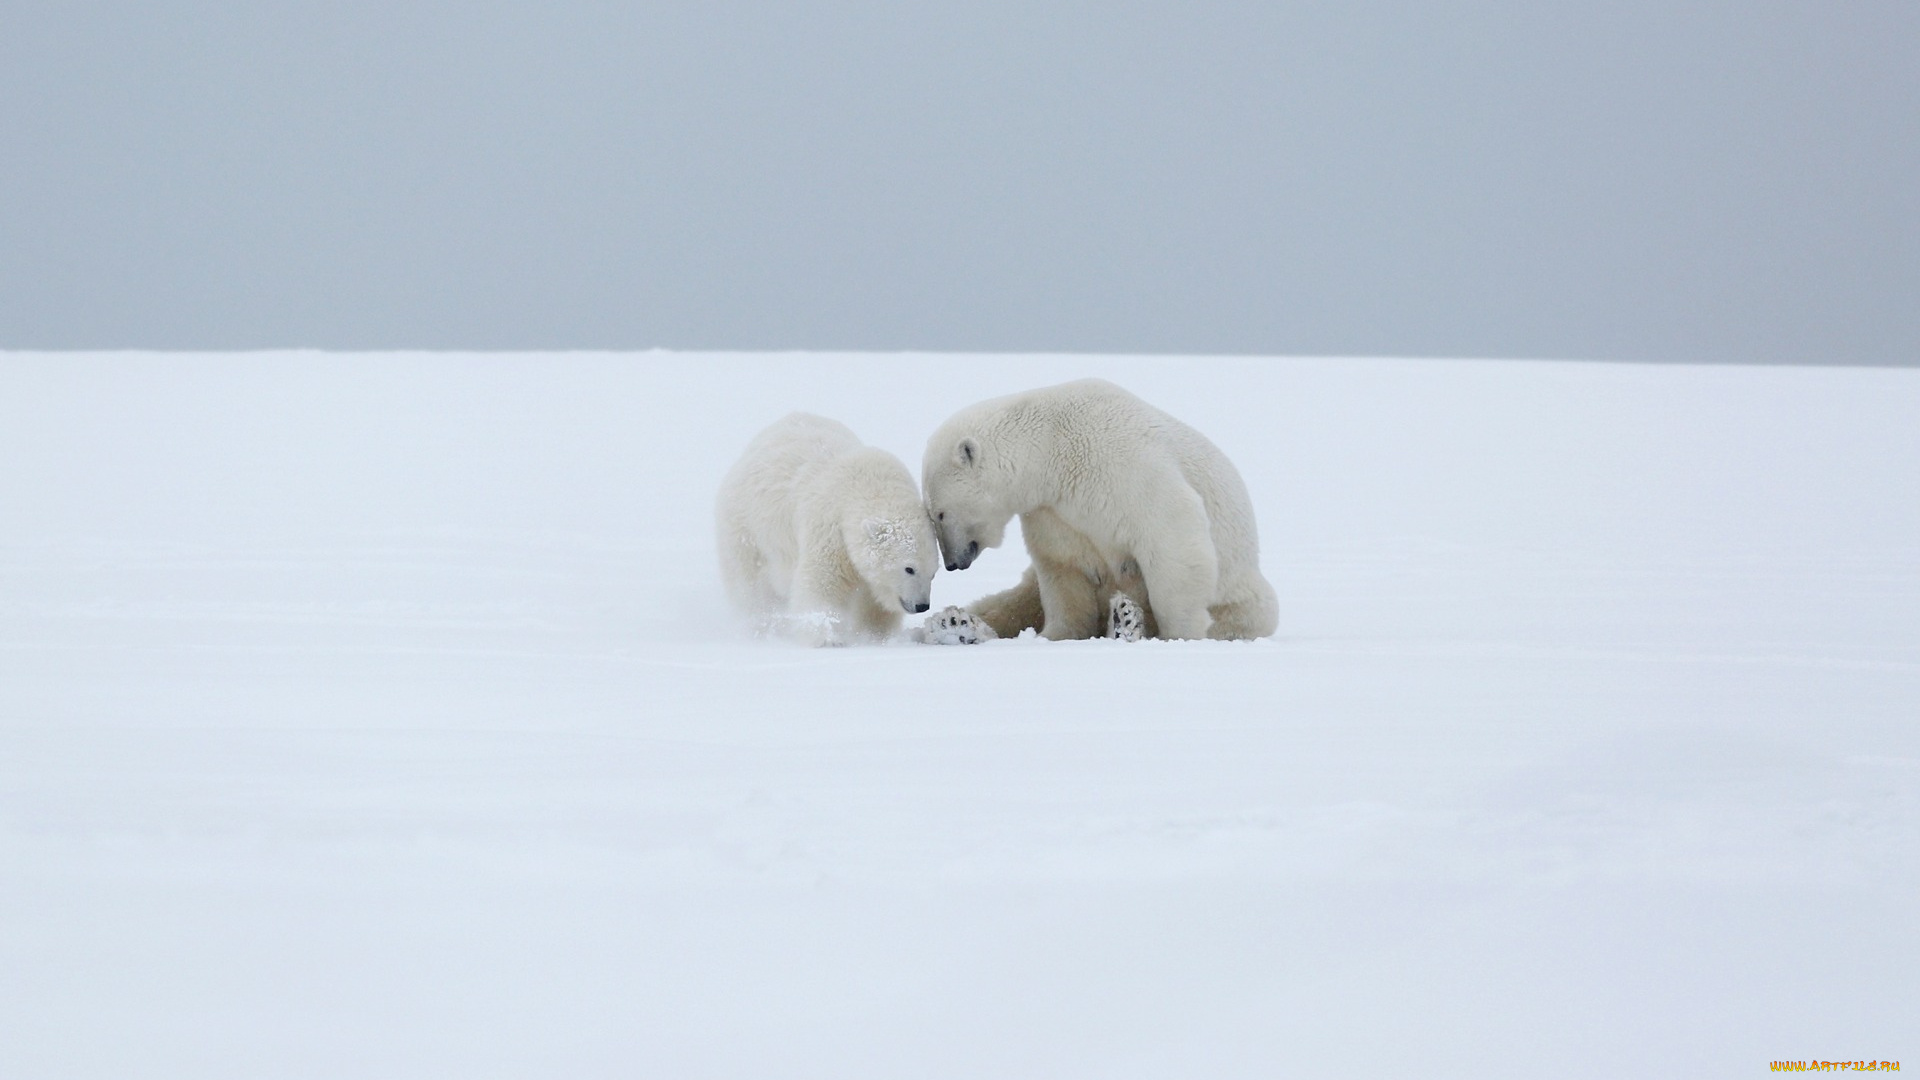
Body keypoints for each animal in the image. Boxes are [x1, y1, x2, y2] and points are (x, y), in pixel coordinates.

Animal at [718, 411, 940, 641]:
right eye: (909, 568)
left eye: (933, 572)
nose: (922, 605)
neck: (869, 486)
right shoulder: (830, 529)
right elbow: (821, 583)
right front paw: (827, 637)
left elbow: (873, 603)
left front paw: (875, 635)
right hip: (745, 526)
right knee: (748, 584)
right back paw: (760, 625)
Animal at [925, 378, 1274, 638]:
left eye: (939, 513)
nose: (952, 563)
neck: (1052, 447)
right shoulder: (1052, 512)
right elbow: (1062, 570)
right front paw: (1056, 635)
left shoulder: (1121, 463)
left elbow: (1170, 532)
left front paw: (1181, 633)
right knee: (1013, 600)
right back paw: (953, 624)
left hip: (1241, 591)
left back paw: (1126, 621)